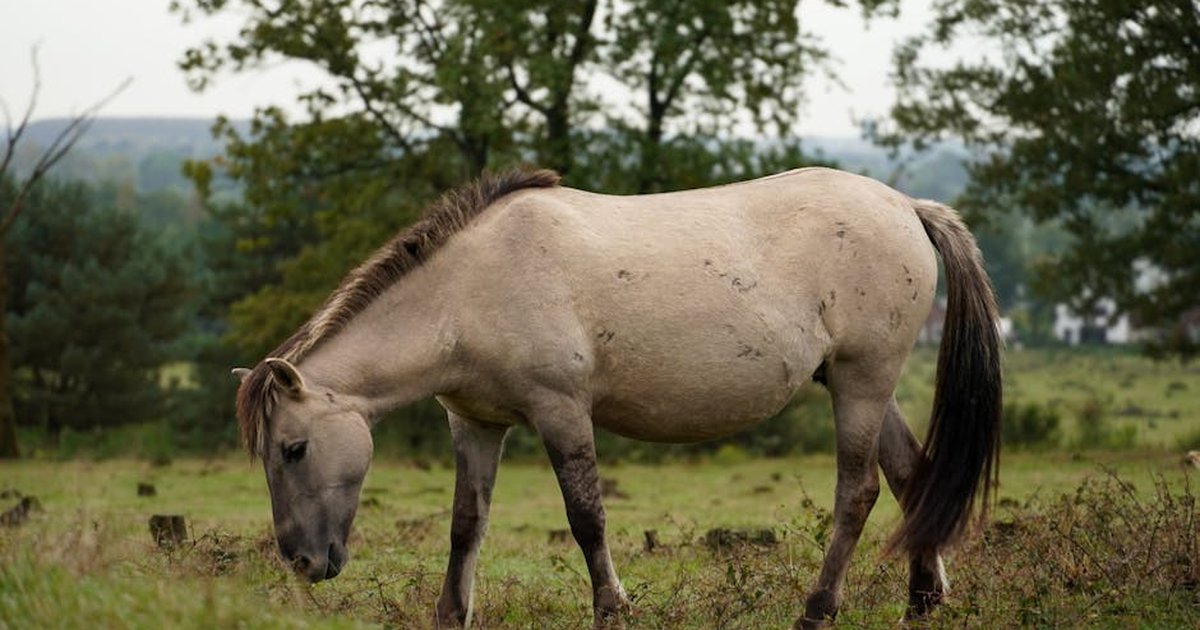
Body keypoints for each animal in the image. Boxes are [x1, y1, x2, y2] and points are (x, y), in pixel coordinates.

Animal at [233, 166, 1002, 629]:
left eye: (294, 449)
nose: (302, 562)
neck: (468, 291)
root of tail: (906, 204)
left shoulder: (561, 411)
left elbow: (587, 518)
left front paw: (612, 608)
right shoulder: (475, 425)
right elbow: (466, 525)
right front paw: (451, 615)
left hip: (862, 382)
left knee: (858, 492)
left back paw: (817, 608)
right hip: (864, 383)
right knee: (910, 476)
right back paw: (922, 602)